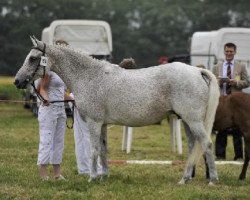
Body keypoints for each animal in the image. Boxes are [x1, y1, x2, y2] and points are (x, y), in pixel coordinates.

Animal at [14, 37, 220, 184]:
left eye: (33, 58)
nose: (17, 81)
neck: (89, 76)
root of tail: (197, 71)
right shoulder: (103, 124)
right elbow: (104, 150)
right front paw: (104, 176)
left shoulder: (94, 122)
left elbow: (94, 149)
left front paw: (92, 178)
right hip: (186, 121)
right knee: (193, 147)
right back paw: (184, 179)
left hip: (193, 120)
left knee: (207, 144)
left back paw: (212, 180)